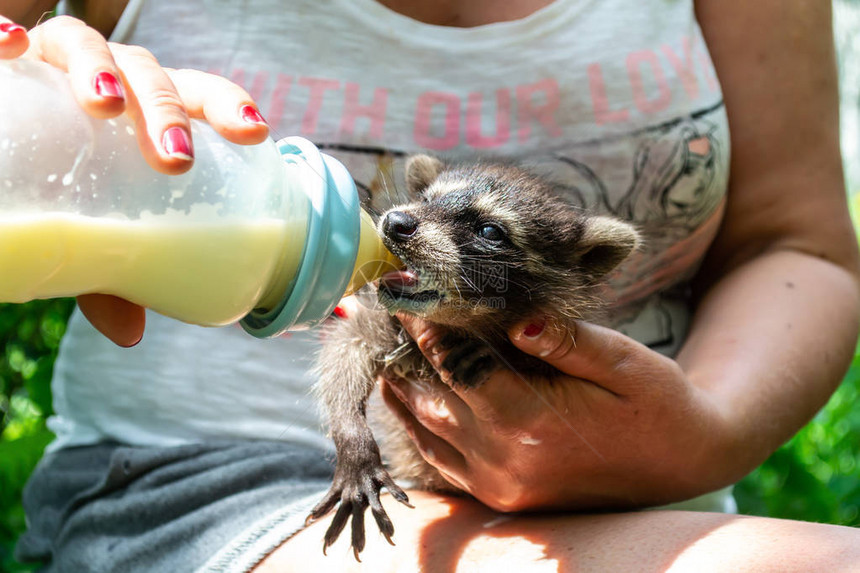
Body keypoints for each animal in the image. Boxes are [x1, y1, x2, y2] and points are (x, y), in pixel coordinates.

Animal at [308, 155, 640, 560]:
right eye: (426, 199)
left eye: (490, 231)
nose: (396, 222)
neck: (458, 321)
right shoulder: (386, 321)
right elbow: (344, 351)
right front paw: (353, 439)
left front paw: (503, 353)